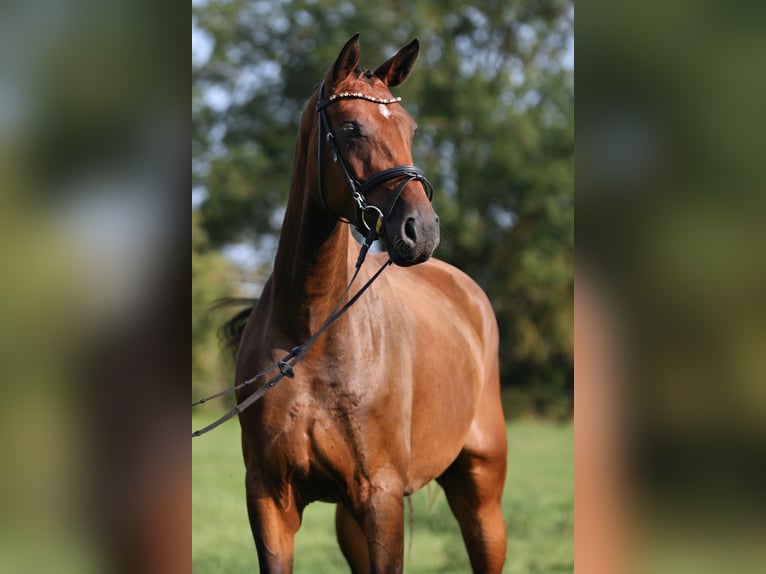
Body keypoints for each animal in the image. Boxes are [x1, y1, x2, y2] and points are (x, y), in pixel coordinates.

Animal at [233, 34, 507, 573]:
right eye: (351, 127)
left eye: (410, 128)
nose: (422, 230)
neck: (311, 336)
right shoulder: (270, 500)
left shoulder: (381, 497)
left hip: (482, 495)